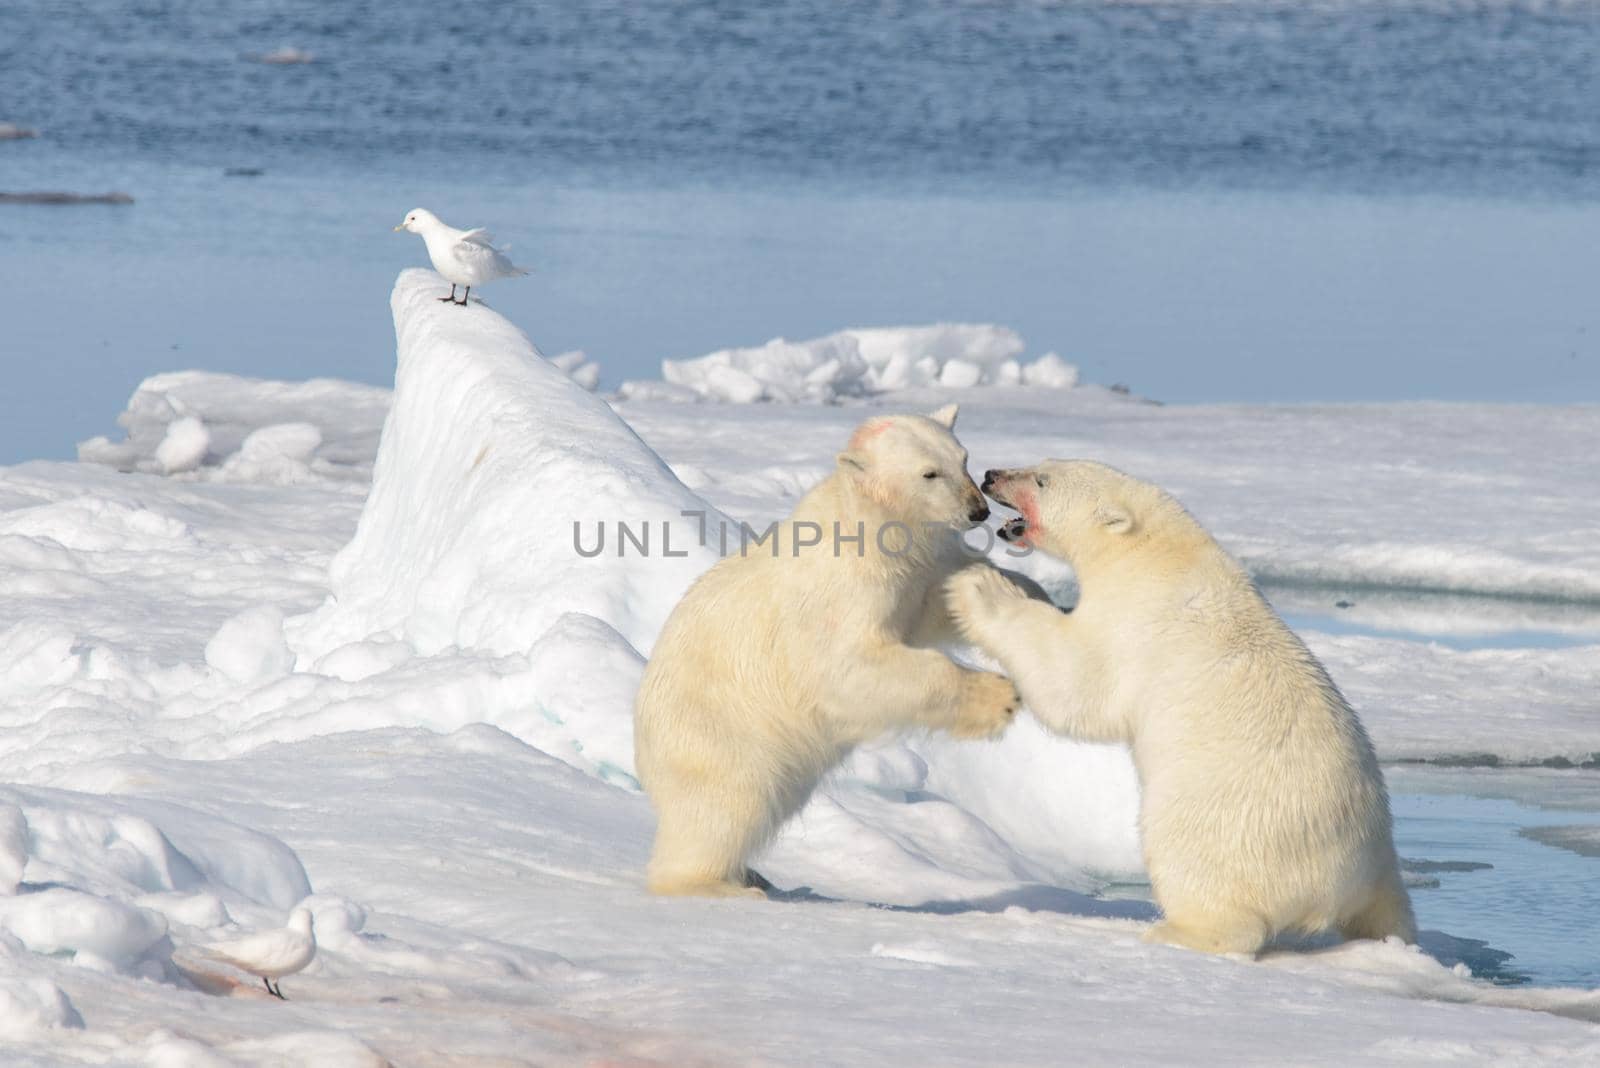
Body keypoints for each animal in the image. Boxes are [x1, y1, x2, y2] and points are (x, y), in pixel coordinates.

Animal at [630, 404, 1017, 895]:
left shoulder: (908, 575)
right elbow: (851, 670)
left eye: (963, 458)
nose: (978, 509)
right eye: (929, 473)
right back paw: (722, 884)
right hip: (720, 739)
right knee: (726, 808)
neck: (870, 523)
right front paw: (999, 698)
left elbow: (929, 608)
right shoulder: (840, 597)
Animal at [947, 460, 1414, 952]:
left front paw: (979, 587)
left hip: (1221, 820)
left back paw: (1173, 929)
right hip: (1381, 861)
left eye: (1042, 480)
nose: (992, 474)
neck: (1158, 554)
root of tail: (1340, 877)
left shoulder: (1132, 622)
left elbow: (1078, 683)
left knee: (1199, 873)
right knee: (1389, 908)